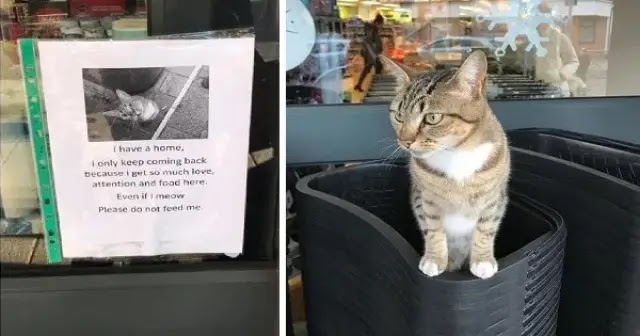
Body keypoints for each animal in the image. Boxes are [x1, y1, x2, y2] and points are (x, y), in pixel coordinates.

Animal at [384, 51, 510, 280]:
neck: (456, 153)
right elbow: (433, 228)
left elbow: (486, 228)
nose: (404, 141)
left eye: (432, 118)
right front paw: (435, 259)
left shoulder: (494, 199)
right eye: (398, 116)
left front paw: (482, 260)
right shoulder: (425, 198)